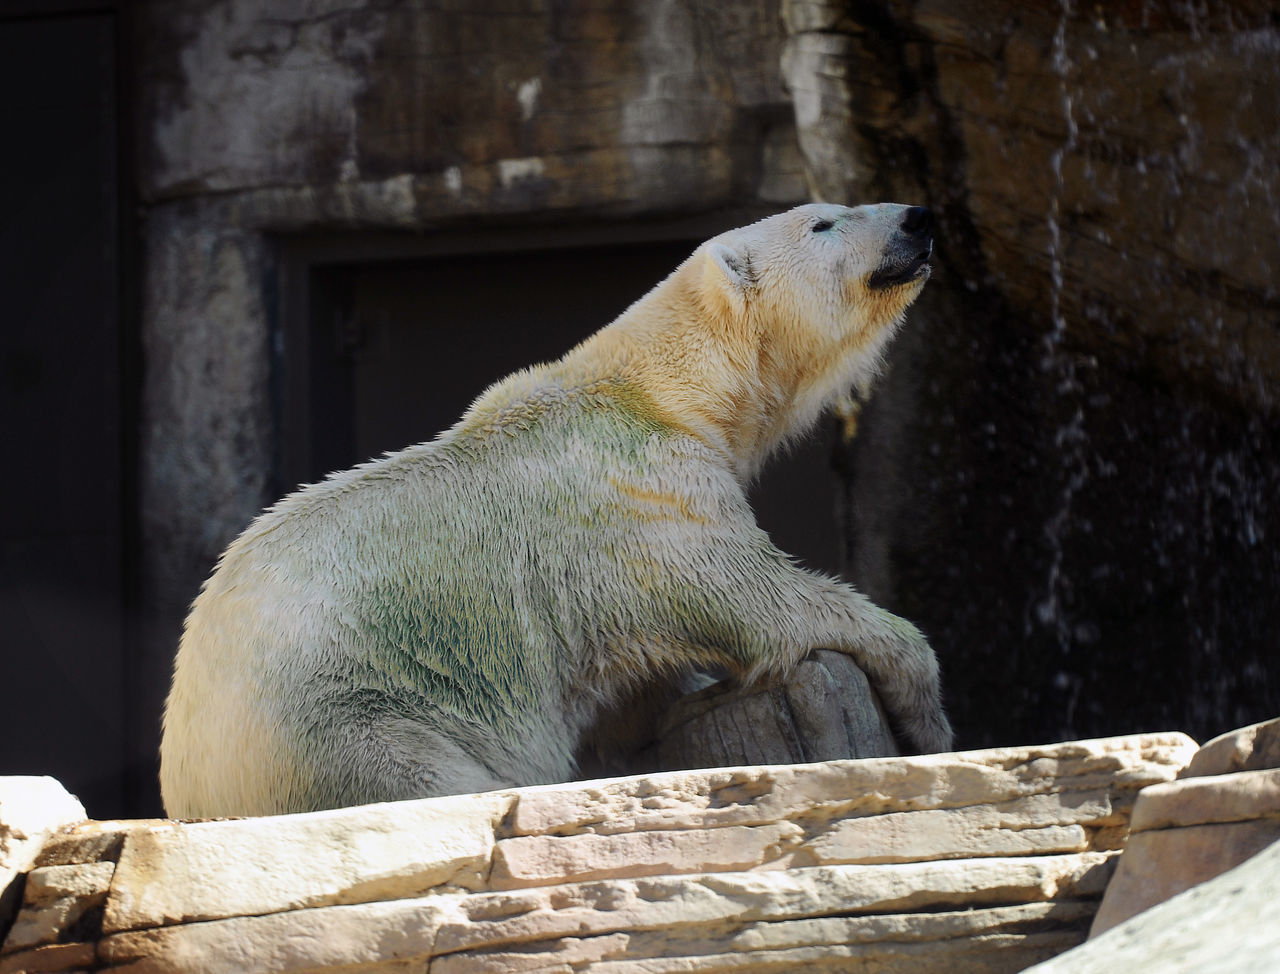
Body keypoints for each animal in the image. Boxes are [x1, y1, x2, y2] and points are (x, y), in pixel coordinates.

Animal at [157, 200, 952, 819]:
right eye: (823, 222)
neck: (662, 389)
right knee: (427, 775)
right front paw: (927, 712)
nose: (918, 217)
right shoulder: (644, 495)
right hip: (344, 721)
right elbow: (762, 601)